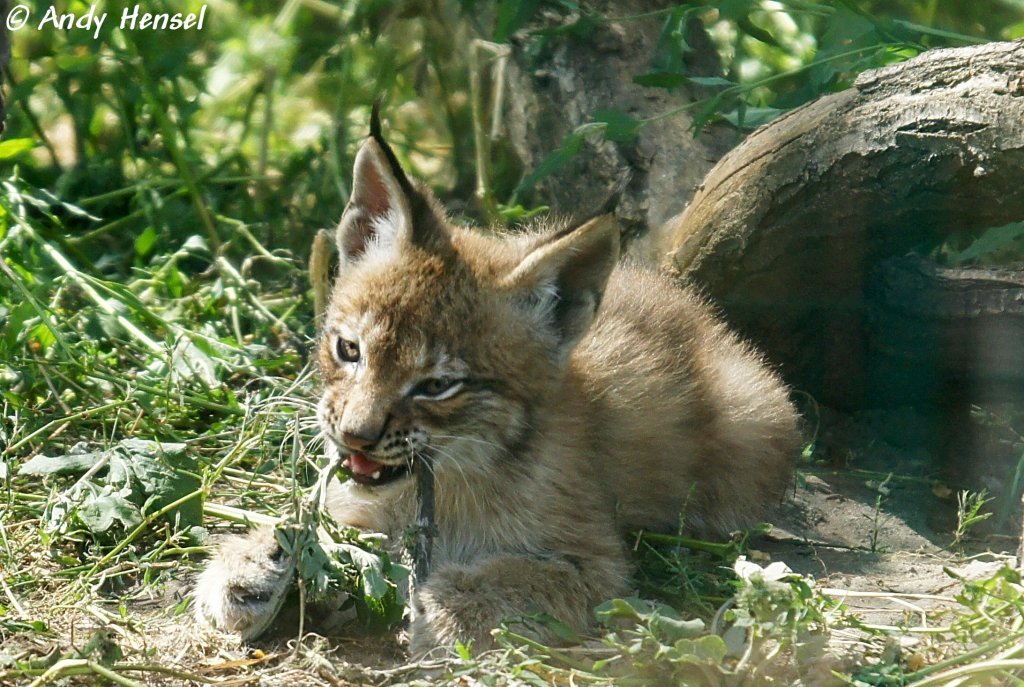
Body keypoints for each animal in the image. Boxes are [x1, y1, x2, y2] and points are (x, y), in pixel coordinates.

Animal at [192, 114, 798, 655]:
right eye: (349, 351)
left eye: (437, 385)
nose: (356, 437)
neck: (456, 473)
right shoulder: (363, 502)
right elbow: (309, 521)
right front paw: (256, 560)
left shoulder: (596, 562)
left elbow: (517, 578)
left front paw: (441, 611)